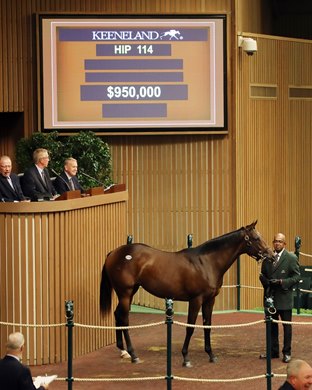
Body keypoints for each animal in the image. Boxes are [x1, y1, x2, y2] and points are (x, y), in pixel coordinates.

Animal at [99, 221, 272, 368]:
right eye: (256, 238)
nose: (270, 254)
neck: (206, 262)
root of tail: (114, 252)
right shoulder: (196, 300)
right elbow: (190, 327)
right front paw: (186, 358)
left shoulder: (210, 300)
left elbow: (207, 326)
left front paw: (211, 355)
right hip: (125, 293)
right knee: (124, 318)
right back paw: (133, 354)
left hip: (130, 292)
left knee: (118, 315)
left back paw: (123, 351)